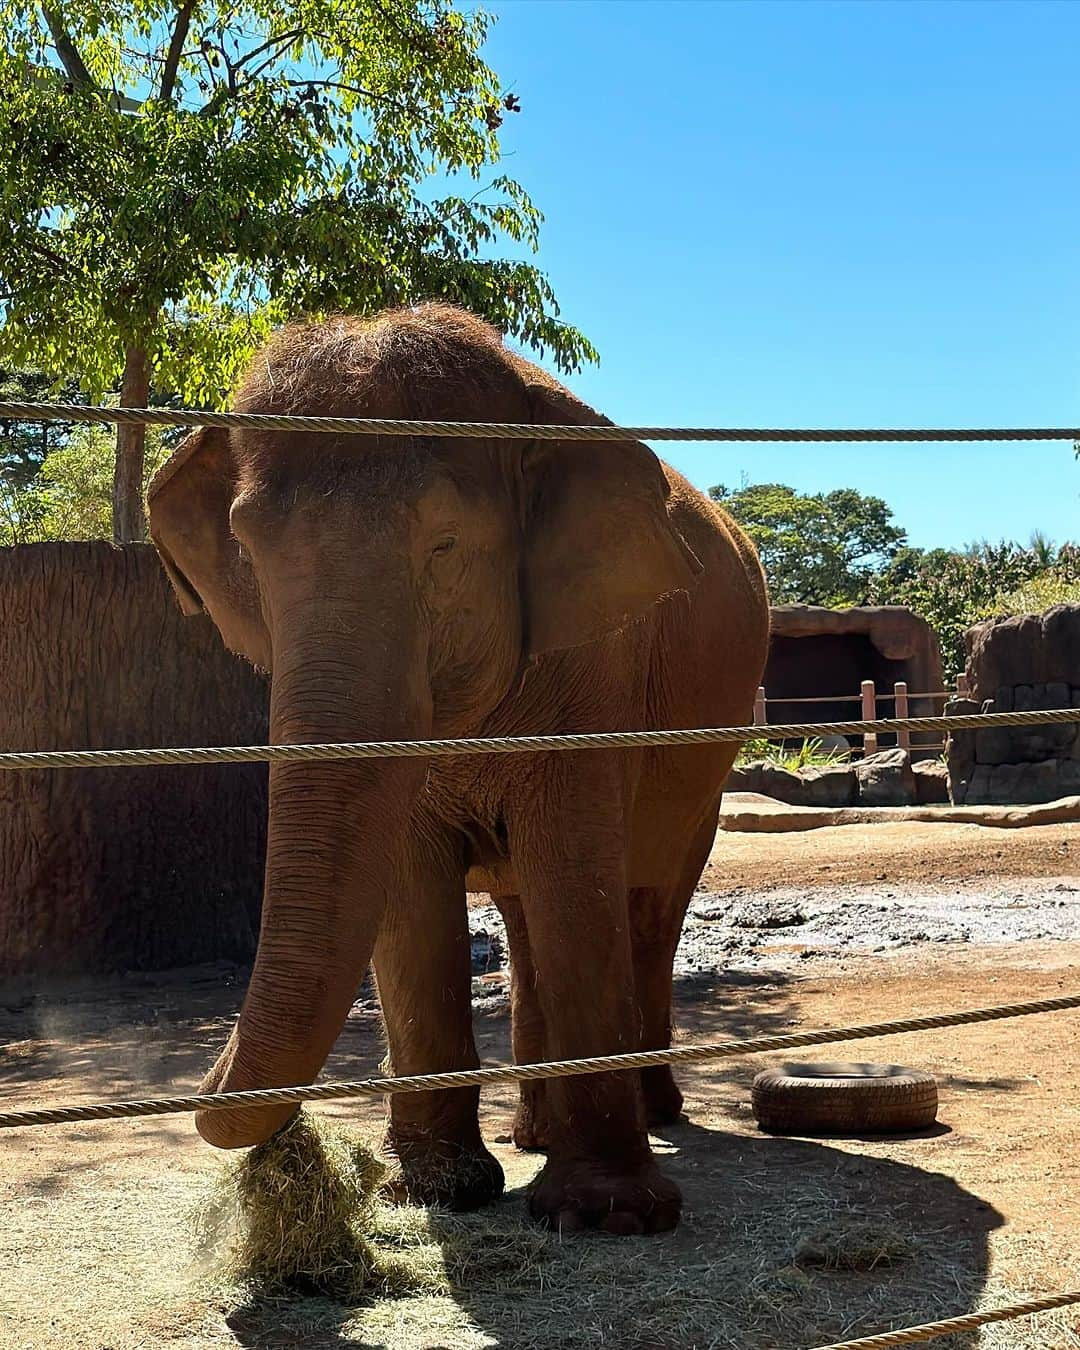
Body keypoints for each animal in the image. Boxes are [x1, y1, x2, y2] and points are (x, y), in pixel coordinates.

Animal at [147, 303, 772, 1236]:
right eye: (249, 561)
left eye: (444, 547)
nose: (217, 1086)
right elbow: (410, 895)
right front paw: (436, 1191)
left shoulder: (598, 667)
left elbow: (573, 873)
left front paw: (603, 1215)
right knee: (524, 914)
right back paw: (534, 1135)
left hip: (710, 756)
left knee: (649, 901)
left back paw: (657, 1115)